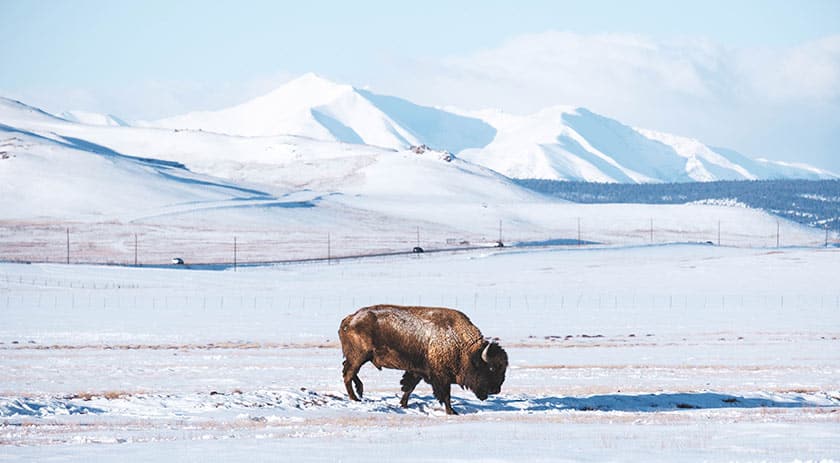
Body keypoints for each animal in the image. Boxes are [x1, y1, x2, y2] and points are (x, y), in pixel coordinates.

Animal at [336, 304, 506, 416]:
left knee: (349, 373)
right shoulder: (441, 378)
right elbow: (445, 395)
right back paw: (355, 398)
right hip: (359, 357)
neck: (465, 349)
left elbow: (408, 387)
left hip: (358, 358)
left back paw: (359, 392)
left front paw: (403, 405)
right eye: (491, 368)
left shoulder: (417, 371)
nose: (496, 390)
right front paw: (452, 412)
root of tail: (349, 319)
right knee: (348, 375)